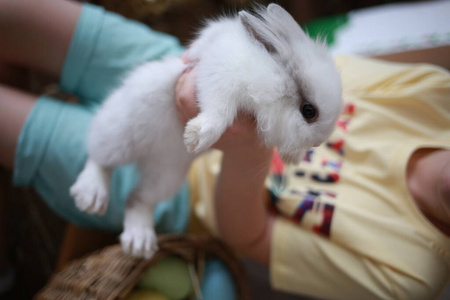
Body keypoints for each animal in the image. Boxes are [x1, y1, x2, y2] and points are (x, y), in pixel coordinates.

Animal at [69, 3, 342, 258]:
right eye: (309, 111)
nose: (317, 144)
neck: (271, 77)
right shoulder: (221, 78)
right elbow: (218, 111)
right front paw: (197, 136)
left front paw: (293, 157)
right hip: (121, 133)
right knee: (99, 158)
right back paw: (91, 196)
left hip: (166, 175)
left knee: (137, 199)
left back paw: (139, 242)